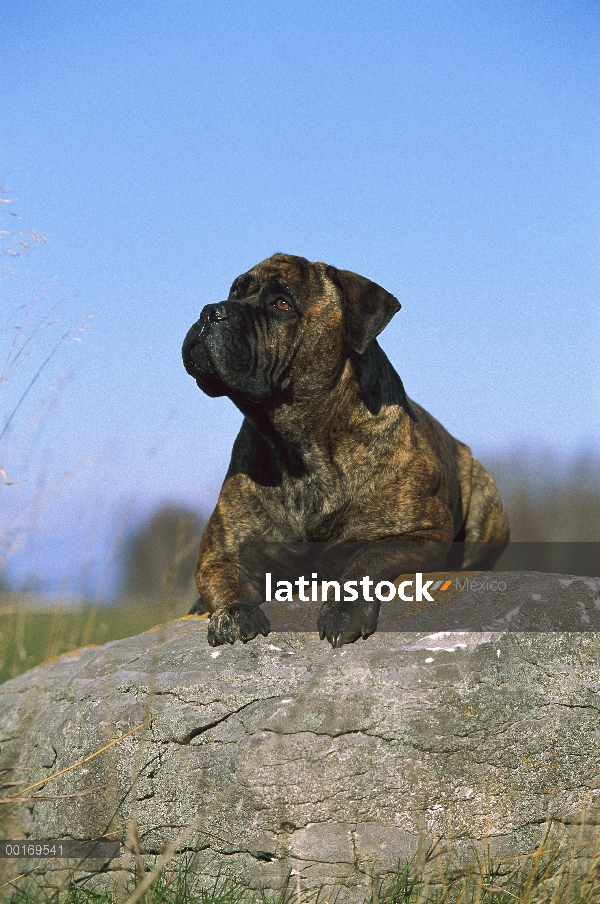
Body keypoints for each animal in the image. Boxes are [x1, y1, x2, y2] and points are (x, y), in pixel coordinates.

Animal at [183, 256, 510, 648]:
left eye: (282, 303)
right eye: (235, 291)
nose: (211, 311)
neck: (299, 450)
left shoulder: (420, 532)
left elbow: (366, 557)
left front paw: (343, 610)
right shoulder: (222, 551)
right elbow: (223, 578)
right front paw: (233, 613)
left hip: (484, 493)